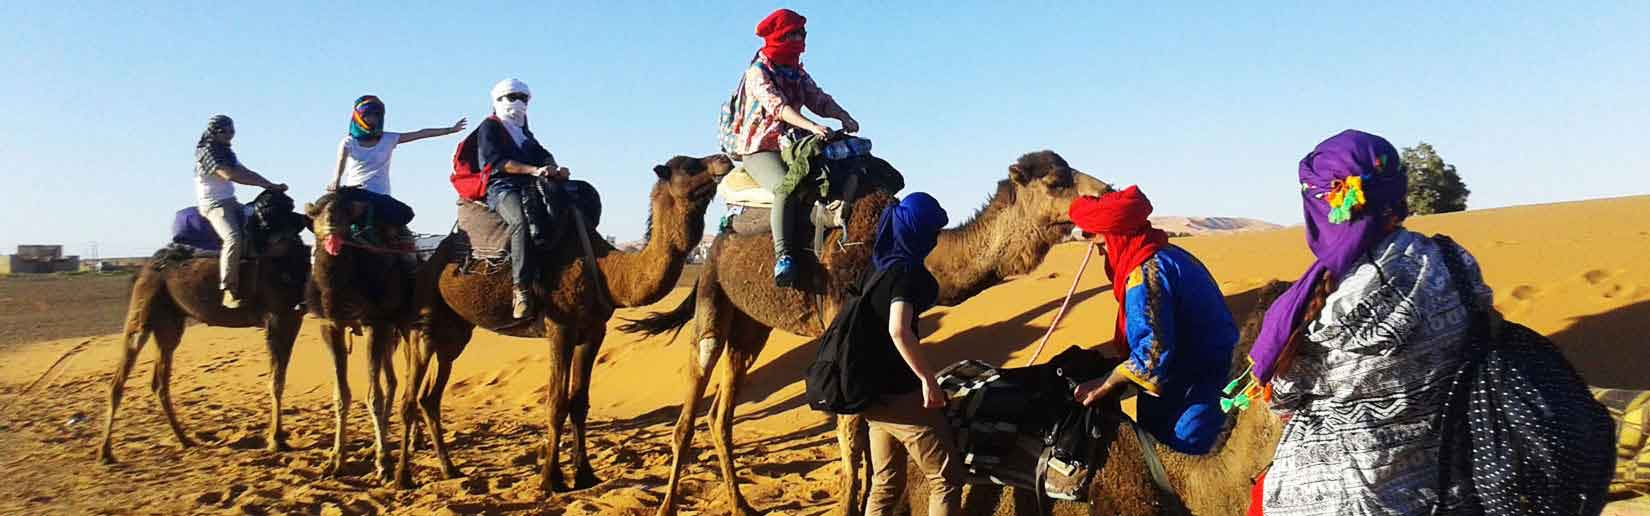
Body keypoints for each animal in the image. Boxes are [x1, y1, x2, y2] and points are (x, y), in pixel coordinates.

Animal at [97, 188, 311, 461]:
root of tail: (144, 268)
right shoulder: (277, 318)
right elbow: (276, 381)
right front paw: (276, 440)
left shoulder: (293, 318)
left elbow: (280, 378)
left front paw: (277, 437)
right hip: (143, 312)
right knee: (119, 379)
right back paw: (105, 452)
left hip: (170, 322)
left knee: (159, 381)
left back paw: (184, 439)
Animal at [303, 191, 419, 481]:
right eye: (317, 212)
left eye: (344, 210)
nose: (331, 222)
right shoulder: (331, 326)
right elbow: (341, 394)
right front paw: (335, 460)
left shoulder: (373, 324)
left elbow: (373, 396)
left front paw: (384, 463)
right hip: (389, 333)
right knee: (392, 380)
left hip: (404, 325)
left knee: (409, 377)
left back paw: (414, 440)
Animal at [392, 152, 729, 491]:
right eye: (689, 166)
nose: (723, 159)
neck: (608, 272)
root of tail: (427, 261)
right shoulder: (560, 328)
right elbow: (555, 403)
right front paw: (550, 479)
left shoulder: (593, 332)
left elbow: (578, 403)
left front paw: (585, 474)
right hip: (424, 321)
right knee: (409, 399)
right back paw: (402, 477)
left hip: (455, 333)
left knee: (430, 397)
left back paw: (449, 470)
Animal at [620, 150, 1108, 514]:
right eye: (1056, 181)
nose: (1105, 191)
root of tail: (717, 242)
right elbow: (852, 442)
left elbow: (876, 440)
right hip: (712, 297)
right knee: (692, 399)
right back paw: (668, 506)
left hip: (751, 325)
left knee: (721, 413)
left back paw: (741, 505)